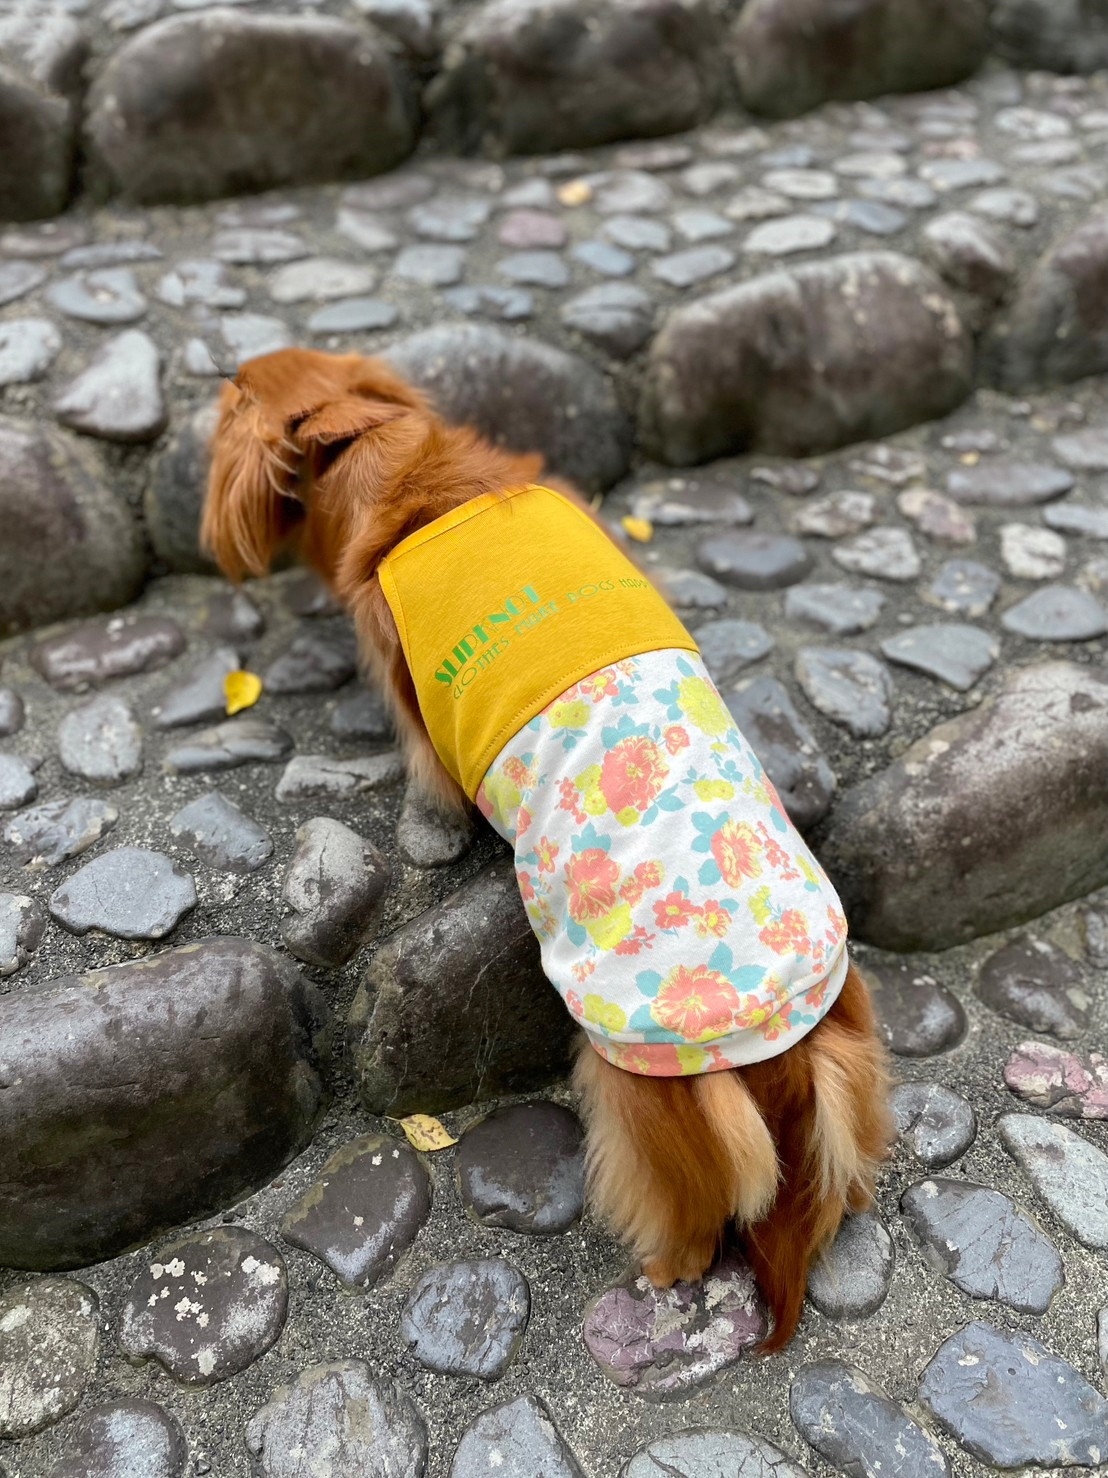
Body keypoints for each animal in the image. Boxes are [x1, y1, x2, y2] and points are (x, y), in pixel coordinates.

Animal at [202, 347, 891, 1350]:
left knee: (693, 1228)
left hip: (637, 1094)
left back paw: (662, 1269)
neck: (404, 466)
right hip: (852, 1058)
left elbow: (429, 772)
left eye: (231, 394)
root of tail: (786, 1050)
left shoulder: (413, 702)